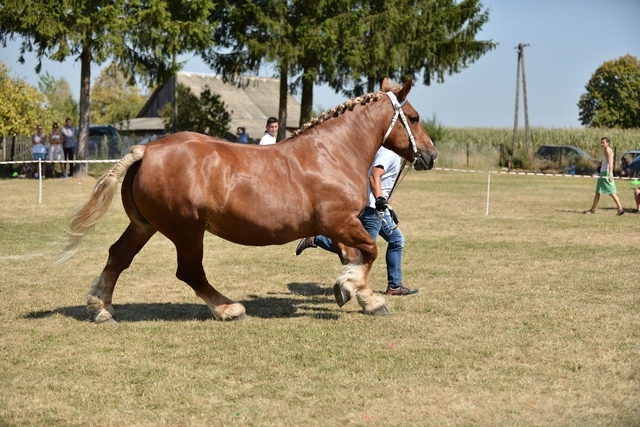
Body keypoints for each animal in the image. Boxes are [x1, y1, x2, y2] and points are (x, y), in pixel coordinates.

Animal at [60, 78, 438, 322]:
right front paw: (364, 296)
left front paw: (353, 291)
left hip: (145, 226)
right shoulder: (340, 221)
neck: (331, 153)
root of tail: (147, 150)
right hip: (187, 230)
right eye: (415, 118)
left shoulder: (340, 226)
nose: (431, 155)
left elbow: (353, 255)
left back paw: (101, 308)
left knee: (118, 256)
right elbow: (369, 251)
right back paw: (229, 309)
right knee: (190, 272)